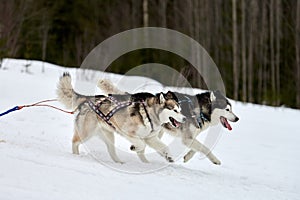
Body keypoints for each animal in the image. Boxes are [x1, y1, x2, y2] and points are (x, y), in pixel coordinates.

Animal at [55, 72, 184, 163]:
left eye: (180, 110)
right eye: (175, 110)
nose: (184, 119)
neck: (150, 115)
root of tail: (87, 99)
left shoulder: (150, 138)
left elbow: (164, 147)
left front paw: (169, 157)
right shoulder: (129, 133)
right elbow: (141, 145)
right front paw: (134, 148)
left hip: (108, 136)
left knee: (111, 150)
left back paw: (119, 162)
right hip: (86, 132)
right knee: (75, 142)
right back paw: (76, 156)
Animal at [98, 79, 239, 165]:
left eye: (232, 108)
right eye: (227, 109)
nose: (237, 118)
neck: (200, 111)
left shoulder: (191, 137)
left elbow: (196, 149)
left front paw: (187, 157)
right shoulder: (187, 138)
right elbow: (205, 148)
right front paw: (215, 160)